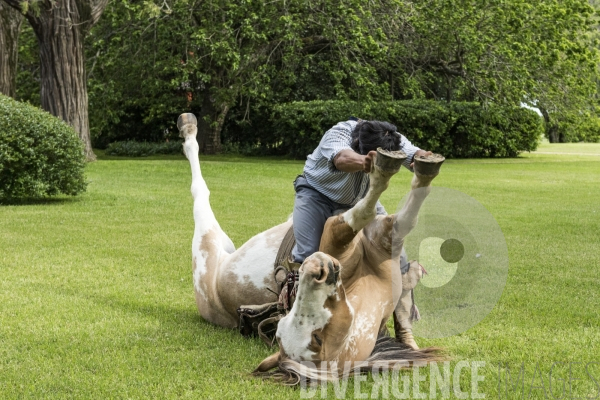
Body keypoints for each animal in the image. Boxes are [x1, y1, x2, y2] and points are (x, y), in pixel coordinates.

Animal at [176, 112, 442, 382]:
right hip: (206, 247)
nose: (316, 268)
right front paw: (382, 169)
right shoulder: (339, 231)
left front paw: (420, 164)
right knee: (200, 192)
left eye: (316, 338)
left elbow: (408, 213)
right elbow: (367, 212)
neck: (367, 280)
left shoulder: (385, 234)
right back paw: (188, 127)